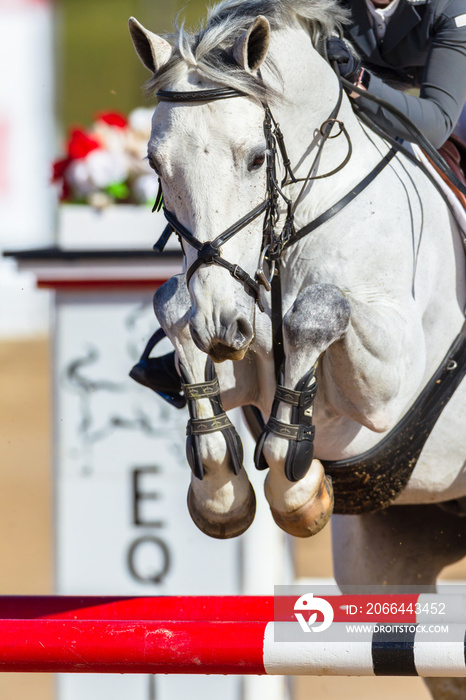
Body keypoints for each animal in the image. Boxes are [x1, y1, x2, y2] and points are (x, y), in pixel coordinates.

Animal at [129, 1, 466, 696]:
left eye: (258, 158)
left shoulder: (390, 383)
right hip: (393, 557)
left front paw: (297, 484)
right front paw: (221, 489)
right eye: (156, 166)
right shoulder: (234, 339)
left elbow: (319, 311)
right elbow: (176, 308)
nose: (222, 325)